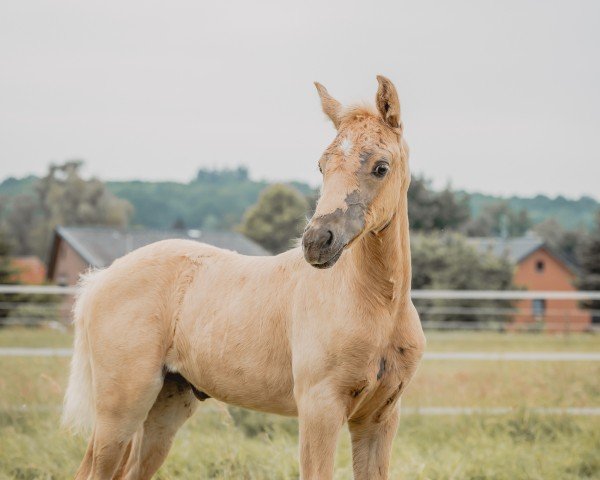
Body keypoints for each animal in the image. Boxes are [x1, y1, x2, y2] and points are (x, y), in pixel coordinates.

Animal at [63, 75, 424, 480]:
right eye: (322, 166)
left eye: (381, 167)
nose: (316, 243)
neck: (377, 305)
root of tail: (100, 280)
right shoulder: (320, 409)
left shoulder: (380, 418)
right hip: (121, 409)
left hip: (165, 407)